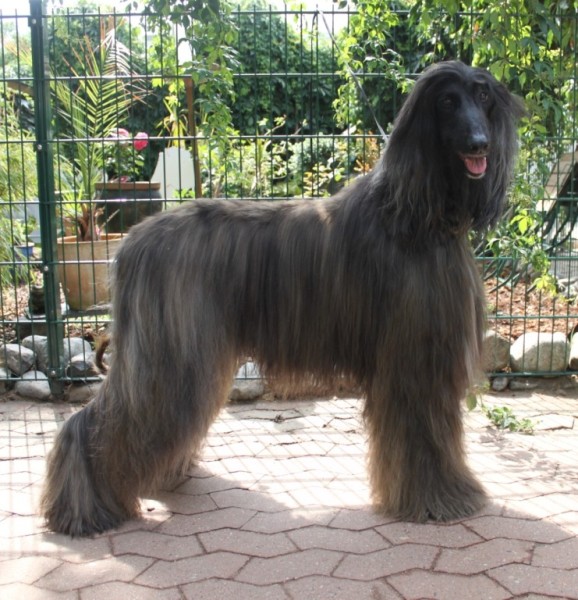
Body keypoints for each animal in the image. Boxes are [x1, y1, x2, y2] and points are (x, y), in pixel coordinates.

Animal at [42, 61, 524, 536]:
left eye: (483, 96)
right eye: (447, 101)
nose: (479, 143)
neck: (418, 216)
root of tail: (130, 242)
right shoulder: (415, 357)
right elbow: (424, 433)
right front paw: (439, 499)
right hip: (171, 352)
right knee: (101, 421)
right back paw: (84, 510)